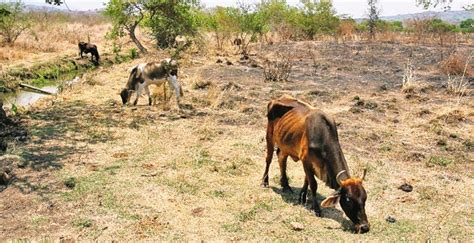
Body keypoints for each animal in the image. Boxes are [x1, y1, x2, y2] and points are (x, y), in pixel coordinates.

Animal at [262, 95, 370, 234]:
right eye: (348, 200)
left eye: (364, 198)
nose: (364, 227)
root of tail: (278, 98)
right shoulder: (306, 160)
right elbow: (313, 184)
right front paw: (316, 208)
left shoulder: (310, 163)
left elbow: (307, 180)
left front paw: (302, 196)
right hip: (269, 137)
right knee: (268, 159)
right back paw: (265, 181)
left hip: (285, 145)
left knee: (282, 160)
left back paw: (285, 185)